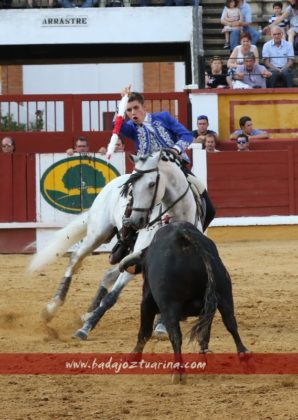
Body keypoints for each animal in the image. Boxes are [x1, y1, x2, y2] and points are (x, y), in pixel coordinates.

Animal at [29, 151, 203, 342]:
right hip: (98, 234)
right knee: (76, 258)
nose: (134, 221)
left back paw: (88, 313)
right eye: (131, 187)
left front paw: (162, 326)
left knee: (107, 274)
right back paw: (52, 308)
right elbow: (112, 297)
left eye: (151, 184)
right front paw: (85, 329)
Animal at [127, 223, 248, 360]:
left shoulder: (147, 300)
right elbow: (205, 332)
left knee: (175, 336)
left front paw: (134, 356)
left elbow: (145, 331)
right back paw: (242, 353)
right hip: (224, 294)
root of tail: (183, 236)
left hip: (169, 305)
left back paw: (178, 366)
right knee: (230, 322)